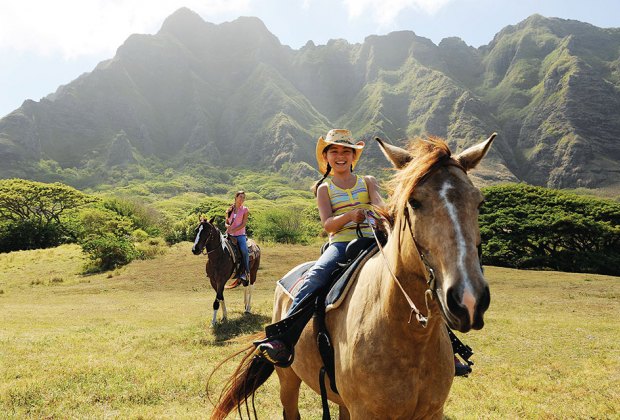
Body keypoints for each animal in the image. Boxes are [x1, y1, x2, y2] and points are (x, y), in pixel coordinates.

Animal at [211, 135, 496, 420]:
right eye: (414, 202)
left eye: (479, 202)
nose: (468, 300)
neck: (411, 337)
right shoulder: (365, 412)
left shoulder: (432, 412)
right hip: (288, 378)